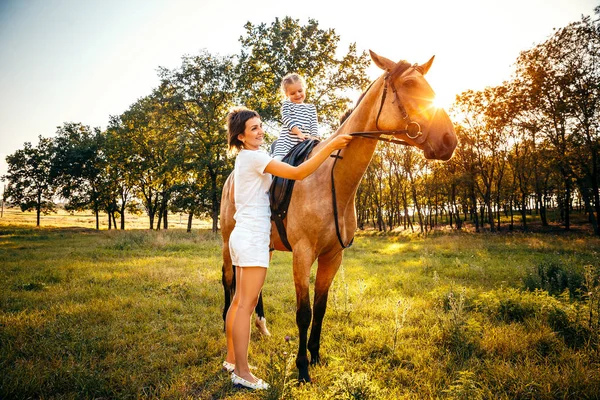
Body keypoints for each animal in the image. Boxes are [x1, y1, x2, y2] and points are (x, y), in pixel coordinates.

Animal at [220, 51, 454, 382]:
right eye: (409, 84)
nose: (449, 140)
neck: (329, 177)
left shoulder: (333, 256)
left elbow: (321, 307)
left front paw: (315, 356)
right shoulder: (303, 254)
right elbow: (304, 313)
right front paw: (302, 368)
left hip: (263, 247)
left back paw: (261, 327)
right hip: (228, 242)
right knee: (229, 281)